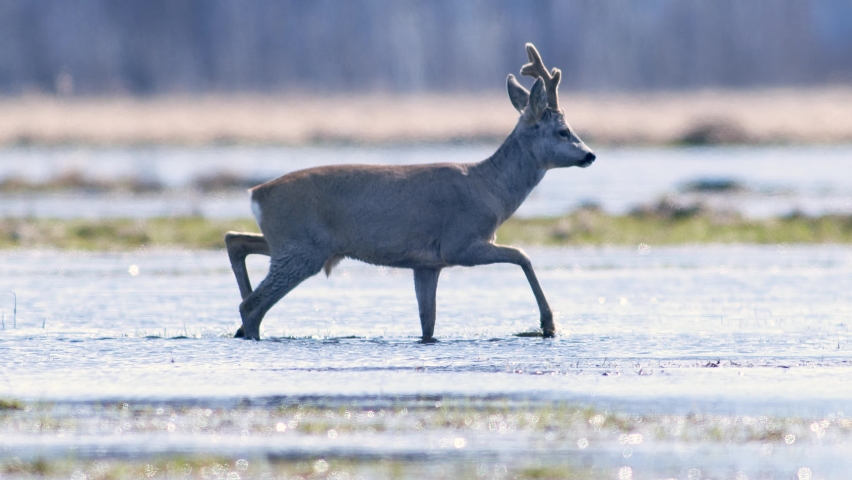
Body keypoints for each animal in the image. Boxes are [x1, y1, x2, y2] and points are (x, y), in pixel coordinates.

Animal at [224, 43, 595, 341]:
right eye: (563, 131)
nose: (589, 155)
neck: (491, 189)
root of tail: (256, 195)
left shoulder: (427, 263)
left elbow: (427, 322)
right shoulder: (461, 242)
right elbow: (523, 255)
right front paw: (549, 325)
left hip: (293, 245)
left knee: (236, 242)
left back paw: (241, 327)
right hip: (302, 249)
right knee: (251, 304)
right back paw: (248, 329)